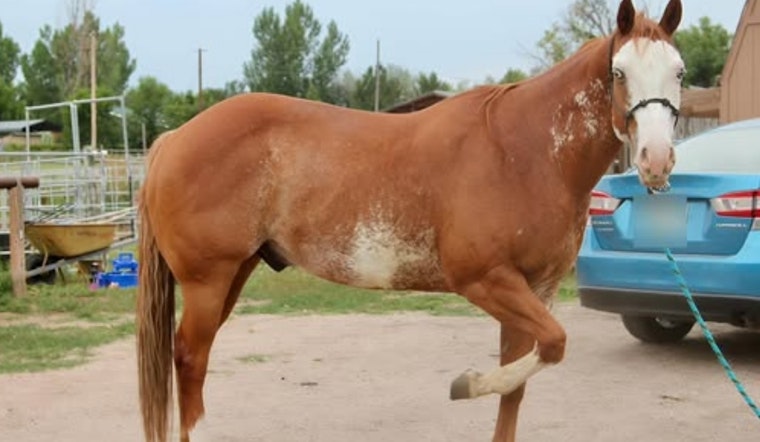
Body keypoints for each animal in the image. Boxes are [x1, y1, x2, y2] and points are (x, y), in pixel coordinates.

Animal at [137, 1, 684, 440]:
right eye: (619, 72)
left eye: (678, 72)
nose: (657, 160)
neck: (522, 152)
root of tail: (175, 138)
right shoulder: (487, 281)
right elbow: (553, 344)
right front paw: (465, 384)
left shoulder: (534, 290)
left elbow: (520, 381)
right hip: (208, 280)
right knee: (189, 359)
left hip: (234, 273)